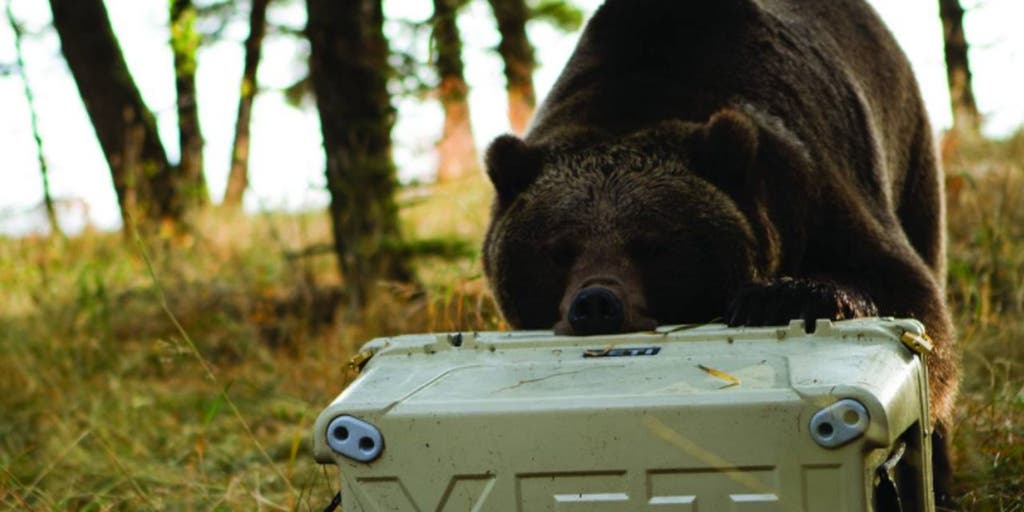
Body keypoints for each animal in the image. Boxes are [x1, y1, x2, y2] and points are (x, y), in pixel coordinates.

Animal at [479, 0, 958, 505]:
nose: (595, 304)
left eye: (652, 245)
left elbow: (904, 293)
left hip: (908, 150)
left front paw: (782, 297)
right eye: (558, 251)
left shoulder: (816, 184)